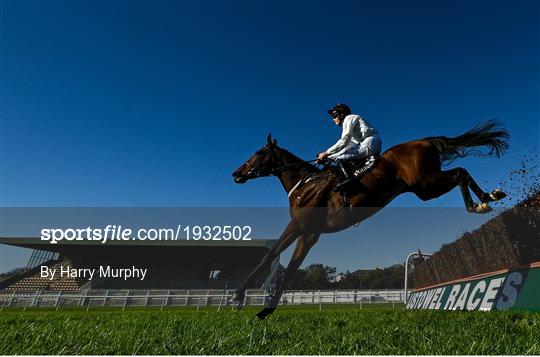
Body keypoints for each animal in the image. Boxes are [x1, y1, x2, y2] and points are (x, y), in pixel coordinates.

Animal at [230, 119, 508, 318]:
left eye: (258, 152)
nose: (236, 173)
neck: (305, 184)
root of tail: (423, 141)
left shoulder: (303, 228)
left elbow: (282, 265)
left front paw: (253, 303)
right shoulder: (305, 230)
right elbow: (274, 258)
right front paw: (245, 299)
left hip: (426, 184)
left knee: (460, 172)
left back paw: (481, 202)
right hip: (424, 188)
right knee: (460, 172)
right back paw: (487, 198)